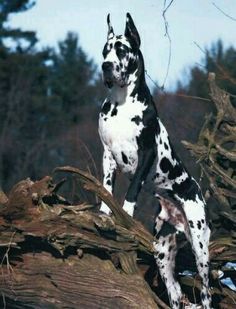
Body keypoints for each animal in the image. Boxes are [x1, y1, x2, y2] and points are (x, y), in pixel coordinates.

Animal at [98, 13, 211, 306]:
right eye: (105, 50)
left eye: (122, 49)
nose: (106, 66)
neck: (121, 105)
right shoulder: (107, 154)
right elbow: (106, 188)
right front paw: (103, 215)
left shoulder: (146, 154)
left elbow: (131, 191)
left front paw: (124, 215)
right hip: (162, 252)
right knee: (175, 294)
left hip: (200, 248)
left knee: (207, 293)